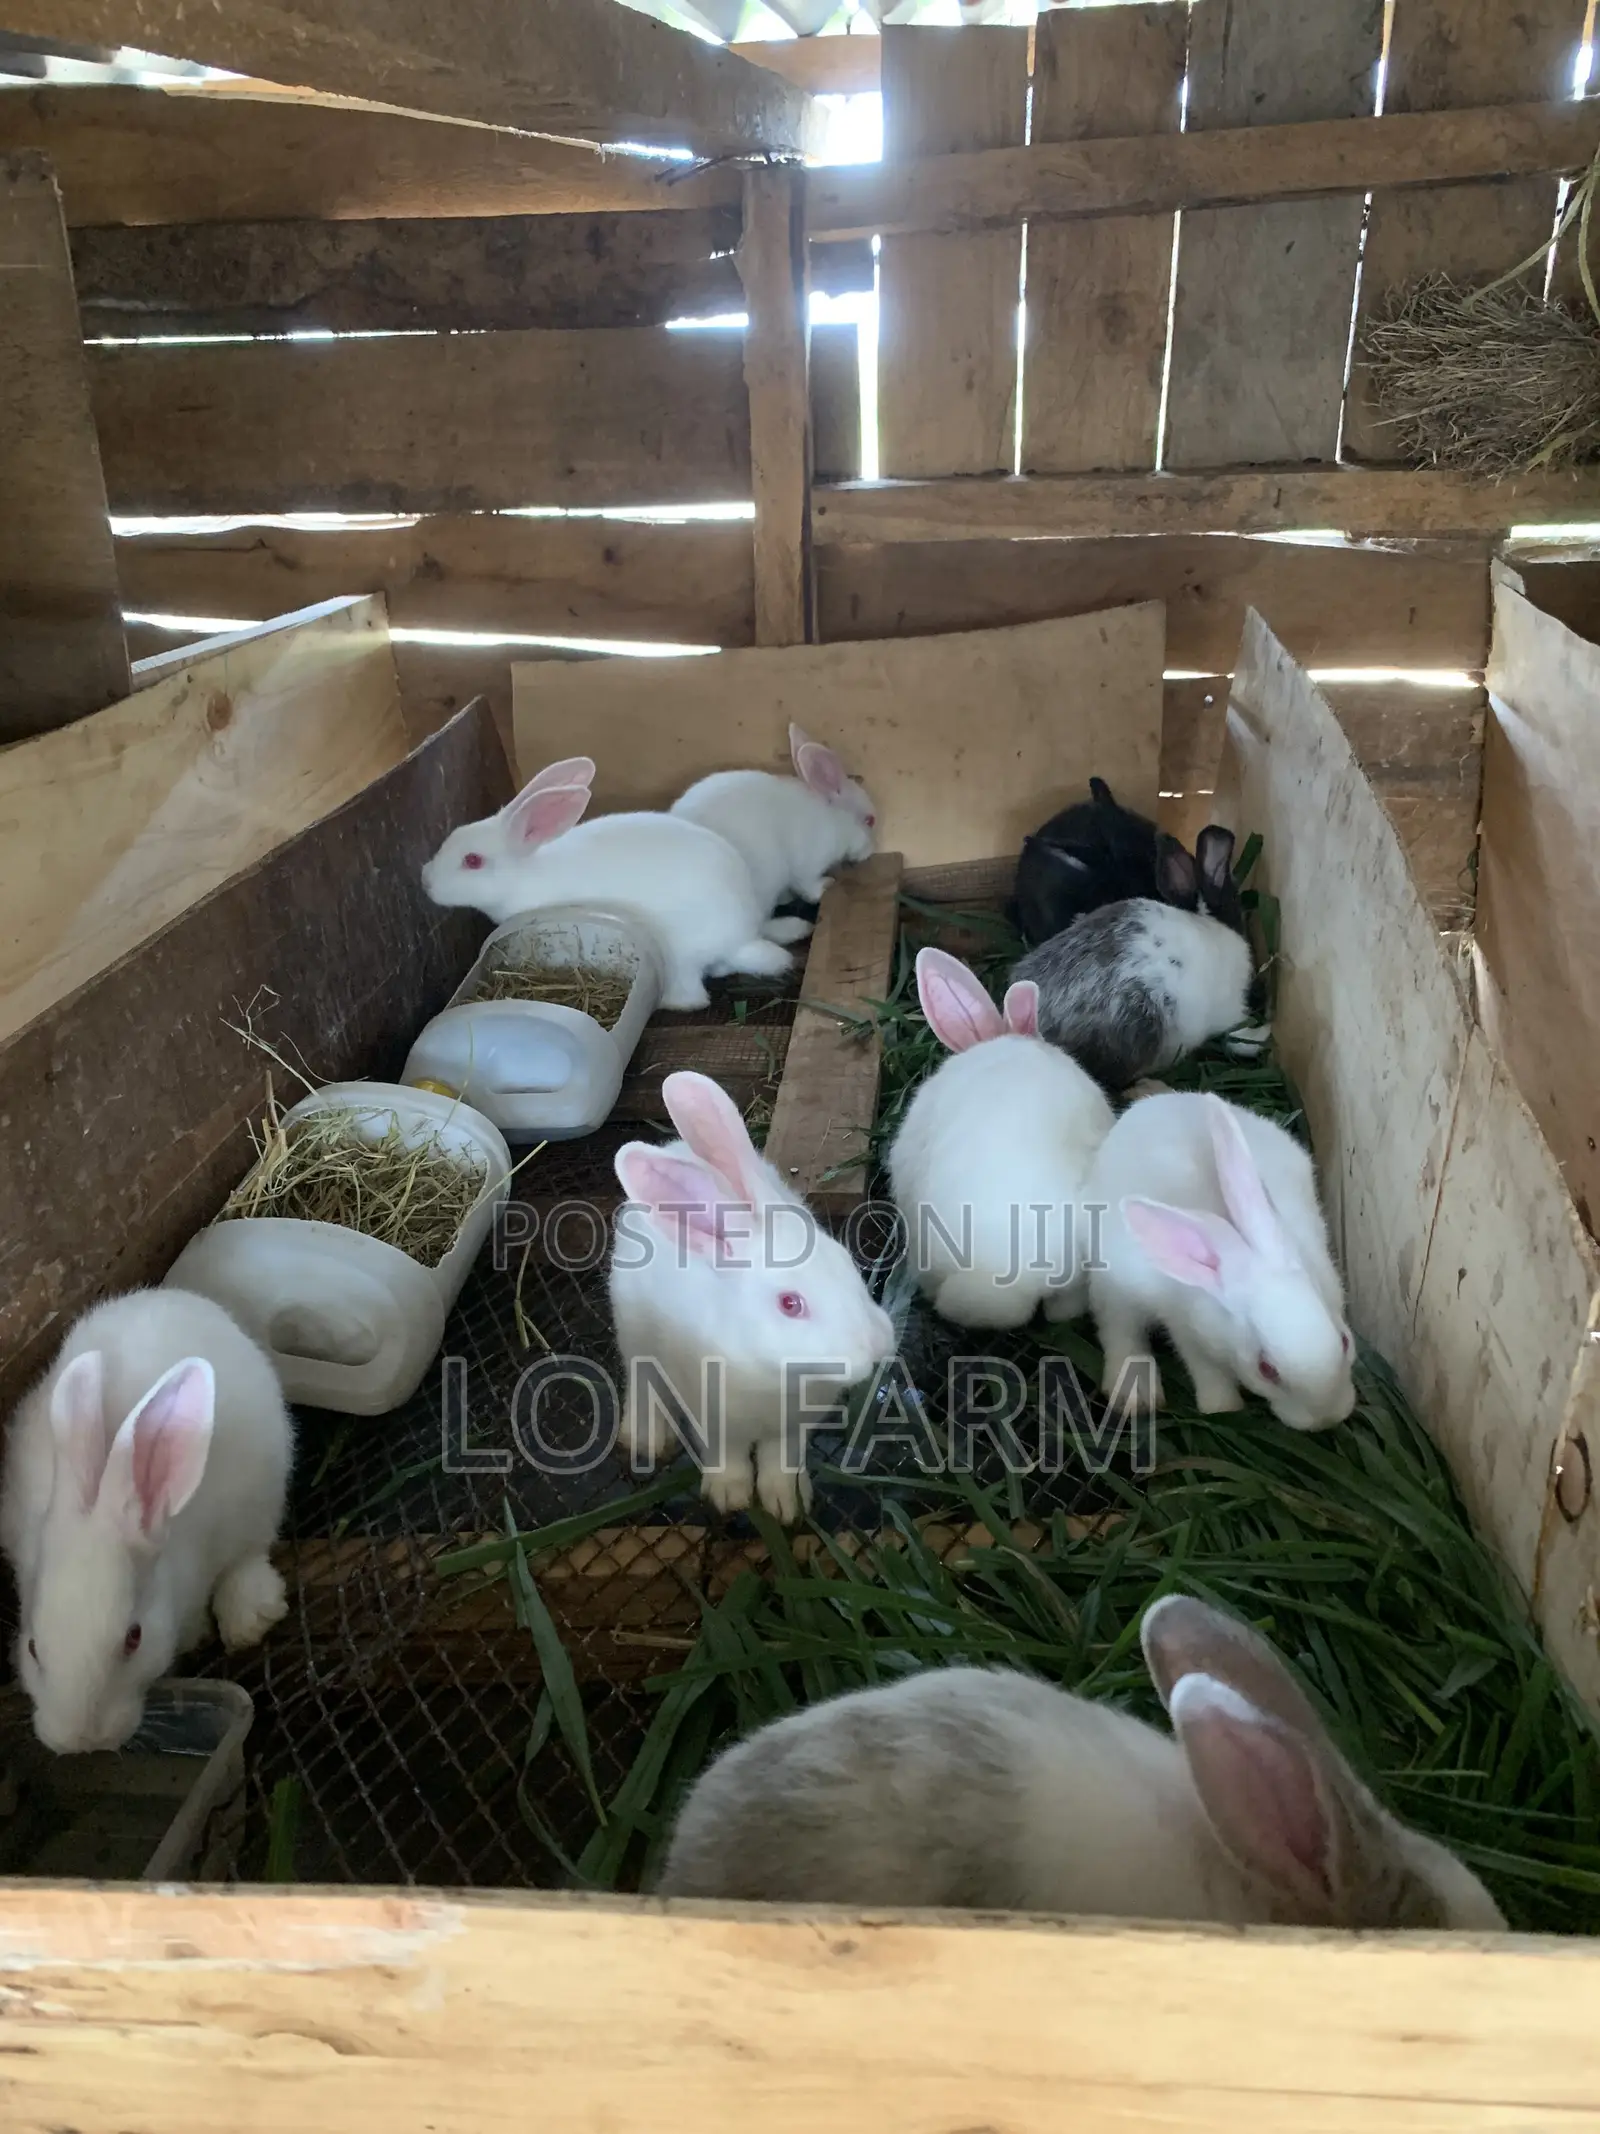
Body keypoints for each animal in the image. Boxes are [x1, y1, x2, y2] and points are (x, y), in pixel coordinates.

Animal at [0, 1288, 295, 1755]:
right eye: (32, 1648)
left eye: (133, 1638)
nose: (83, 1740)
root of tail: (182, 1296)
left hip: (267, 1486)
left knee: (249, 1555)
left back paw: (249, 1618)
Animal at [421, 756, 793, 1012]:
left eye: (473, 861)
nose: (426, 880)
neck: (525, 873)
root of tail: (741, 936)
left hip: (680, 954)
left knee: (692, 996)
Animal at [610, 1071, 896, 1524]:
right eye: (789, 1304)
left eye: (845, 1259)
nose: (876, 1344)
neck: (774, 1375)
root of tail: (672, 1147)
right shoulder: (711, 1417)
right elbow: (725, 1455)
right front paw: (731, 1496)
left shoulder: (793, 1429)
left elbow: (782, 1460)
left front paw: (786, 1504)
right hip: (633, 1328)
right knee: (643, 1381)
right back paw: (645, 1438)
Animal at [670, 723, 878, 941]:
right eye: (869, 820)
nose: (870, 851)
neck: (833, 820)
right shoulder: (807, 864)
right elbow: (808, 886)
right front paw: (826, 884)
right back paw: (798, 927)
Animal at [1086, 1090, 1355, 1432]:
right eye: (1266, 1369)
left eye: (1345, 1340)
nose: (1327, 1420)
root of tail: (1155, 1101)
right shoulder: (1187, 1330)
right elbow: (1208, 1372)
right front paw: (1222, 1409)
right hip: (1115, 1285)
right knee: (1119, 1327)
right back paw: (1136, 1399)